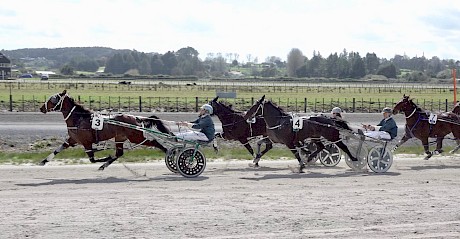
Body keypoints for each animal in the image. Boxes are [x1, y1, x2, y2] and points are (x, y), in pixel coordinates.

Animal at [38, 89, 172, 170]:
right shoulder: (72, 140)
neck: (79, 119)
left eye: (53, 99)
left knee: (154, 142)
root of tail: (136, 118)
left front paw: (106, 157)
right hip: (120, 138)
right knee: (119, 153)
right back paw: (104, 165)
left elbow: (92, 159)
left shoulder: (86, 143)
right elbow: (57, 150)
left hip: (136, 137)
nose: (41, 108)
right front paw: (44, 161)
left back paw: (168, 153)